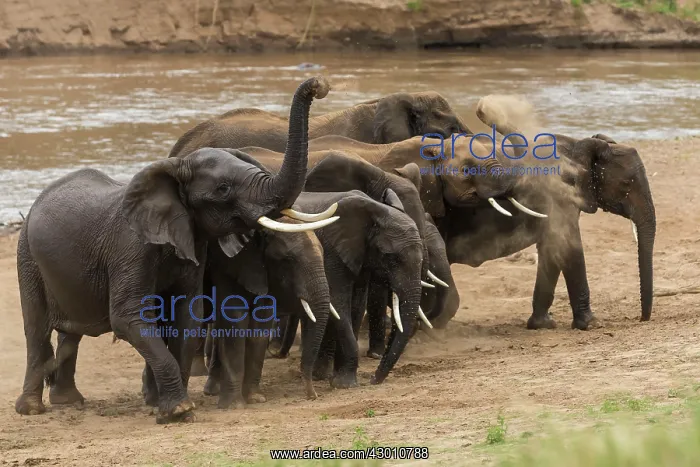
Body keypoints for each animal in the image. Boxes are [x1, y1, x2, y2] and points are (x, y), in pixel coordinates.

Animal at [16, 76, 334, 423]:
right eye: (223, 189)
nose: (320, 85)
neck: (176, 168)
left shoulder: (193, 246)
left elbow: (187, 316)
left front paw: (168, 407)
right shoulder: (130, 247)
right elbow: (128, 317)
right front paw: (179, 410)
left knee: (69, 332)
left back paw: (69, 402)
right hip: (27, 256)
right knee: (37, 328)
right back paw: (31, 409)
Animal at [437, 98, 656, 330]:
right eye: (626, 185)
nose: (642, 319)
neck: (578, 145)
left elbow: (552, 248)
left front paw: (540, 324)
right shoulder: (560, 196)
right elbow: (569, 248)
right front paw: (592, 324)